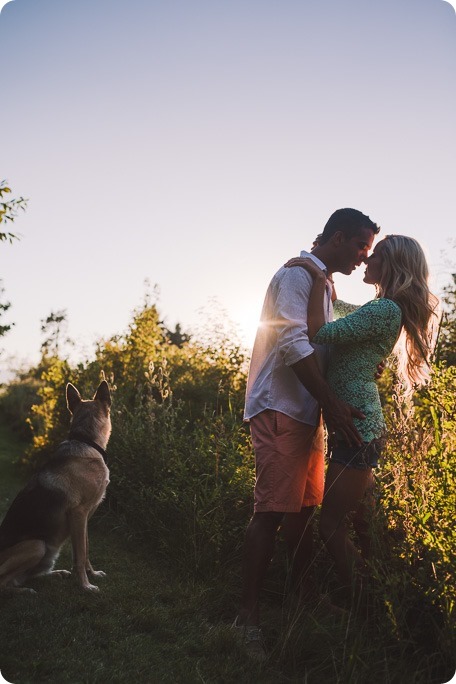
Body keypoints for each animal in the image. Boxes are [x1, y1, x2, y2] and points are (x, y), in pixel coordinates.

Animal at [0, 380, 111, 592]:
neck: (85, 441)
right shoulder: (79, 514)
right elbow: (80, 556)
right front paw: (85, 586)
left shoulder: (86, 517)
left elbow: (85, 550)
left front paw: (92, 575)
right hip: (38, 545)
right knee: (5, 583)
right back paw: (24, 591)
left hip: (46, 556)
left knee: (27, 576)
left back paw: (56, 574)